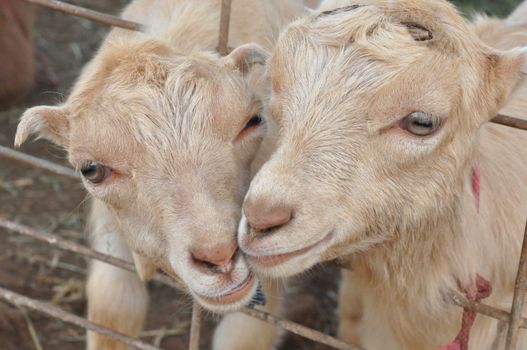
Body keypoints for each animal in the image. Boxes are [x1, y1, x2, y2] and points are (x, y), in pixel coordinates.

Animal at [14, 0, 306, 350]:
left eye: (252, 121)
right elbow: (113, 306)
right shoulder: (114, 228)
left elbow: (248, 332)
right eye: (92, 170)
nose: (219, 256)